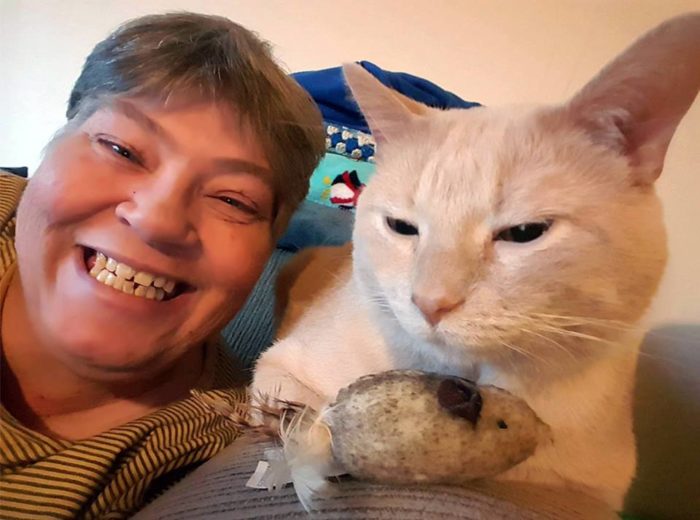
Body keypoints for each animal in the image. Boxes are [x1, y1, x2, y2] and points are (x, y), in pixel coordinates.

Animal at [252, 14, 700, 510]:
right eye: (402, 227)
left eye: (523, 233)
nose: (430, 302)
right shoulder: (280, 369)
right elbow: (303, 416)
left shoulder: (592, 493)